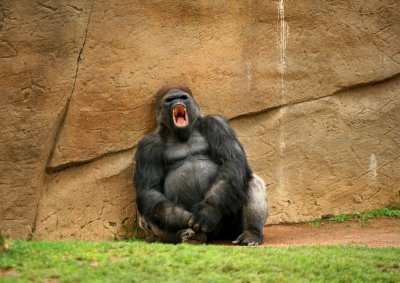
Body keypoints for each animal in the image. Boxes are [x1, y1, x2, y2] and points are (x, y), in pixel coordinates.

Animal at [134, 85, 268, 246]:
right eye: (169, 100)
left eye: (183, 97)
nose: (177, 101)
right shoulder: (147, 146)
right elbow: (150, 189)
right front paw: (182, 218)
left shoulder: (216, 123)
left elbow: (231, 161)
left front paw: (207, 211)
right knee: (151, 208)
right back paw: (184, 236)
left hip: (229, 229)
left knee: (249, 180)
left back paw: (251, 232)